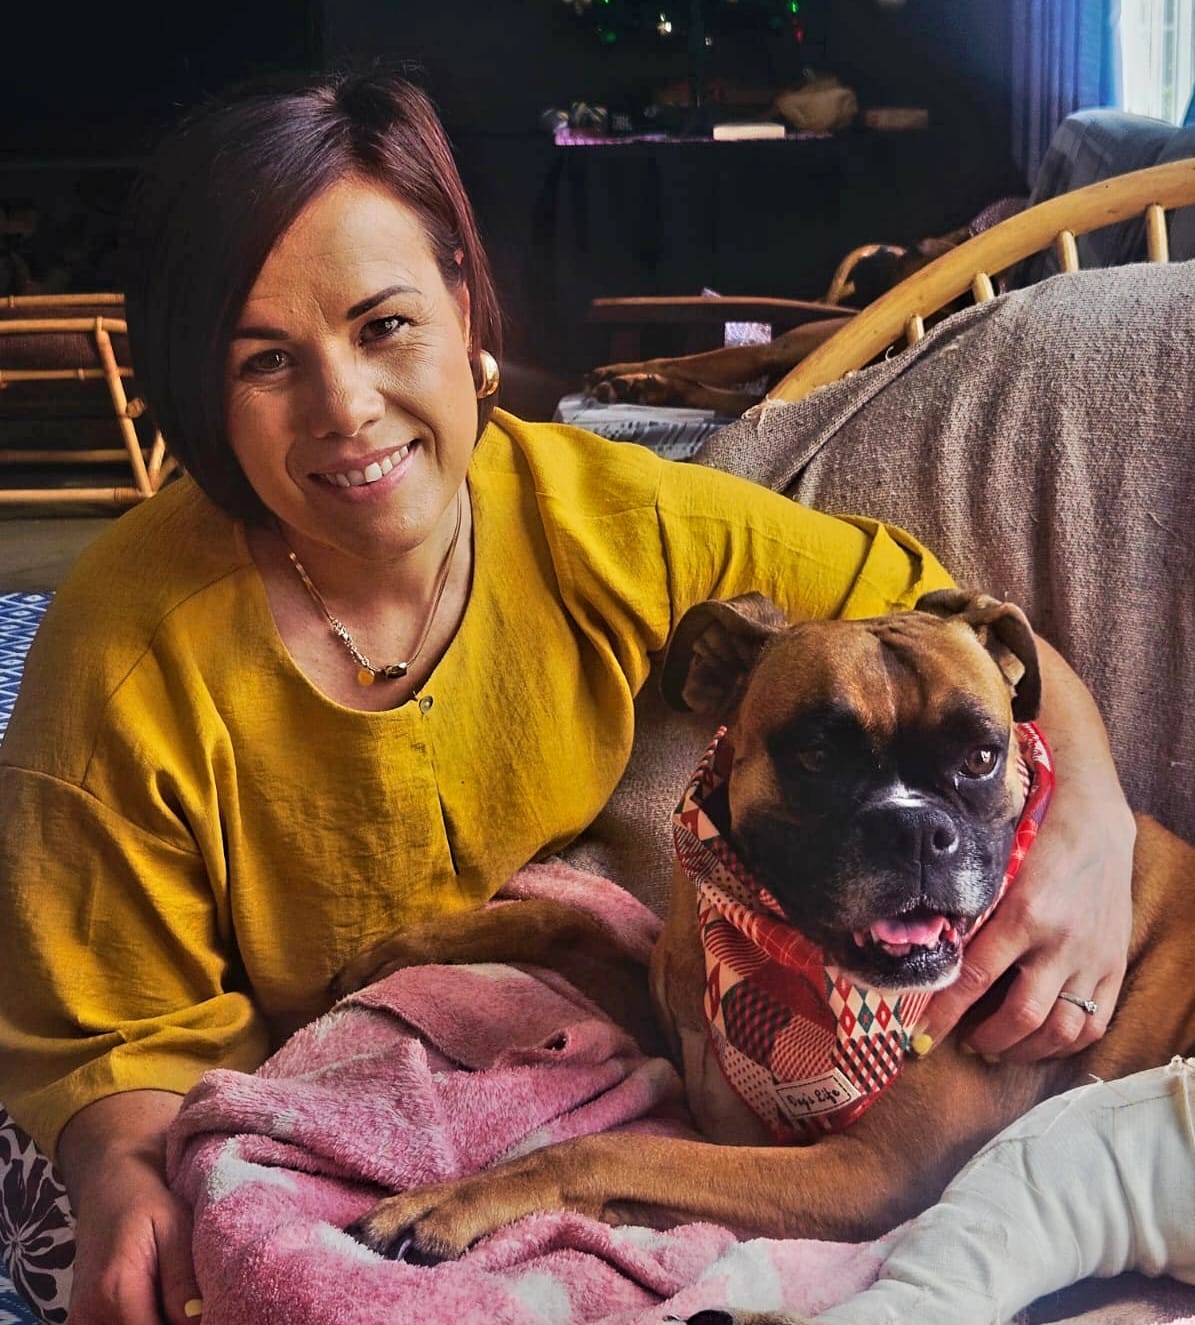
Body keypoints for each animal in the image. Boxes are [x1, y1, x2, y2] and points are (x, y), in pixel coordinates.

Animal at [333, 589, 1195, 1261]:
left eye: (982, 755)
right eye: (815, 753)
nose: (916, 832)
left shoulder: (867, 1173)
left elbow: (612, 1147)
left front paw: (457, 1199)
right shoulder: (667, 1010)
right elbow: (558, 919)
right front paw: (397, 948)